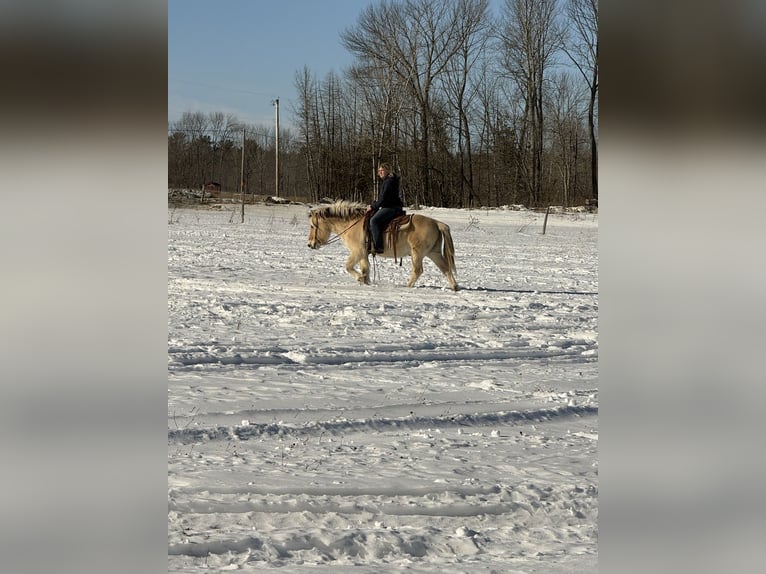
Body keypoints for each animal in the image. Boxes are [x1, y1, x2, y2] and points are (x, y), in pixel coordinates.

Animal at [307, 200, 458, 291]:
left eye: (313, 226)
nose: (310, 244)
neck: (352, 225)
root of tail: (437, 223)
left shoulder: (357, 252)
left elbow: (348, 266)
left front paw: (360, 278)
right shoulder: (364, 254)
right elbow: (365, 268)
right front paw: (366, 281)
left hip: (418, 253)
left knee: (418, 270)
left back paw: (407, 285)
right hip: (433, 253)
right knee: (445, 268)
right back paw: (455, 286)